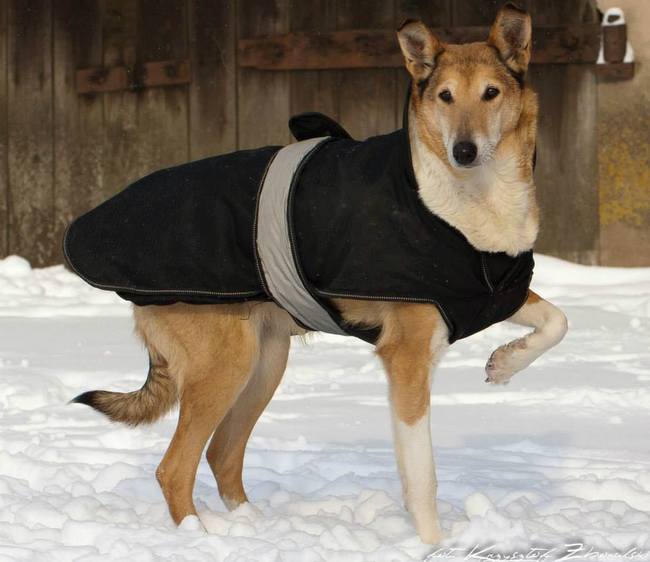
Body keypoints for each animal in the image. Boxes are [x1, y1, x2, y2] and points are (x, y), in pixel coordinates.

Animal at [69, 3, 567, 544]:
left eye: (491, 93)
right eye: (445, 96)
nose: (464, 150)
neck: (466, 200)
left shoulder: (492, 292)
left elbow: (558, 322)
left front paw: (504, 363)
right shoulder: (408, 356)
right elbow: (423, 476)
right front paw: (432, 546)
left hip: (265, 362)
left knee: (222, 454)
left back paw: (252, 526)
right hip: (226, 365)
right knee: (174, 469)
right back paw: (201, 539)